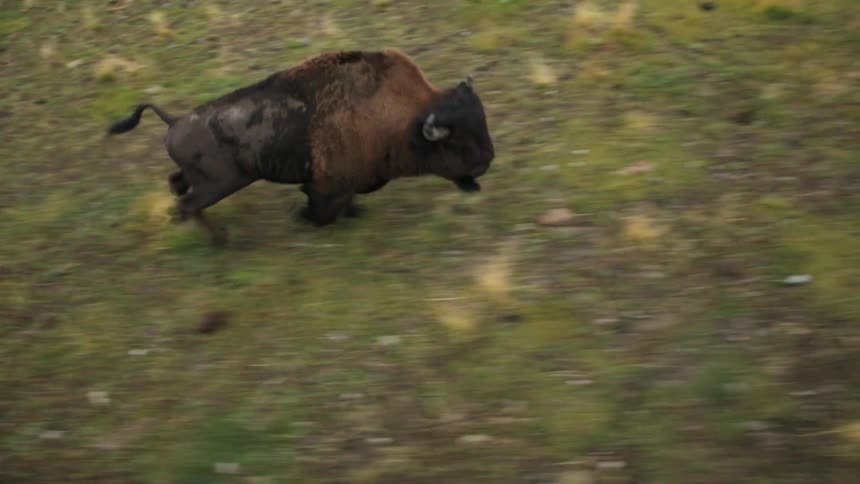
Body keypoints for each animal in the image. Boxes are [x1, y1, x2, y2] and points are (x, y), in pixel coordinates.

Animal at [107, 48, 495, 244]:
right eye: (459, 144)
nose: (487, 162)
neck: (403, 118)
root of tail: (174, 121)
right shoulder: (328, 184)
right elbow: (322, 208)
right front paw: (304, 217)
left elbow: (345, 202)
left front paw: (355, 213)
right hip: (219, 185)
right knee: (187, 206)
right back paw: (221, 240)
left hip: (200, 178)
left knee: (177, 185)